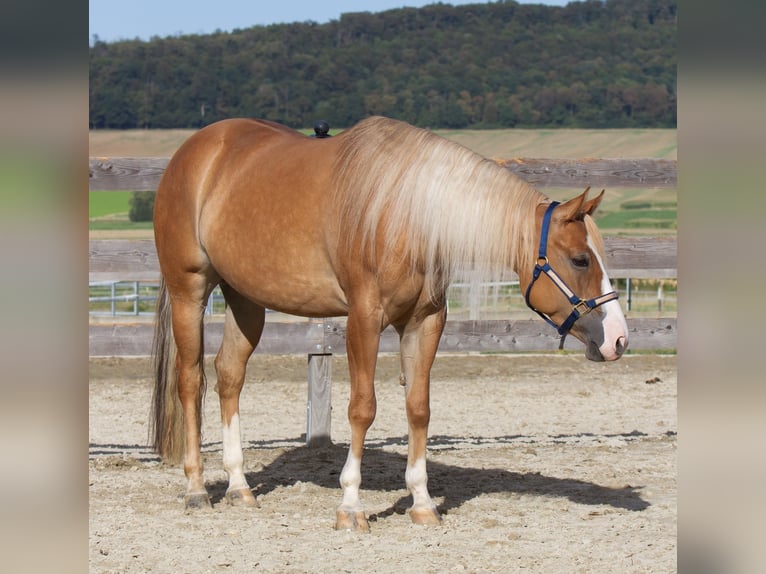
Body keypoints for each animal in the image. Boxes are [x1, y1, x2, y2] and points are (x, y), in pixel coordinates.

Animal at [150, 116, 629, 531]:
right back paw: (197, 489)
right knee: (190, 381)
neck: (407, 215)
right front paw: (350, 507)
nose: (619, 340)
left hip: (245, 300)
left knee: (229, 375)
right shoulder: (364, 319)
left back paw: (239, 486)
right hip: (189, 290)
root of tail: (195, 151)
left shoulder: (425, 322)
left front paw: (422, 503)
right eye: (580, 259)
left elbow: (418, 408)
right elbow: (362, 409)